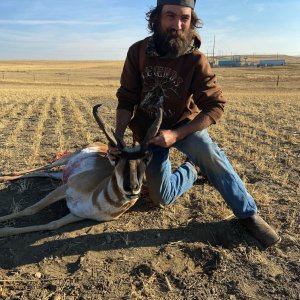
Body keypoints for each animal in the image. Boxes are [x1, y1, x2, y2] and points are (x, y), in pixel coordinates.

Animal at [0, 104, 163, 238]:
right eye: (117, 159)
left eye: (146, 160)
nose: (132, 188)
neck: (96, 199)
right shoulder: (65, 188)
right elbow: (31, 209)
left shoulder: (76, 214)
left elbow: (52, 224)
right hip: (64, 161)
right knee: (43, 168)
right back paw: (5, 176)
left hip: (61, 175)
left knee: (45, 173)